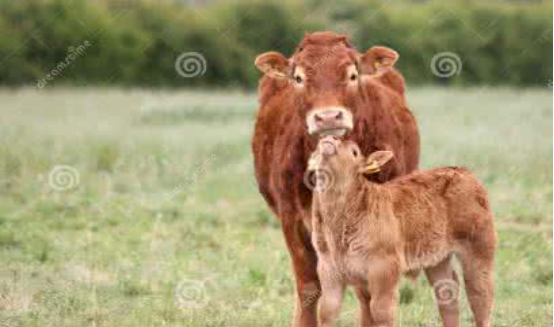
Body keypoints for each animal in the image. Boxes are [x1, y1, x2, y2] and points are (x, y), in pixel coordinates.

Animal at [251, 31, 418, 327]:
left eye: (352, 75)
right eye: (298, 78)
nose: (328, 116)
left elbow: (367, 290)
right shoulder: (292, 218)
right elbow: (308, 285)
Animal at [308, 137, 494, 327]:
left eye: (354, 151)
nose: (330, 139)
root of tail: (463, 171)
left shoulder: (384, 268)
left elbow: (381, 311)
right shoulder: (329, 269)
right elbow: (328, 311)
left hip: (479, 247)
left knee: (480, 294)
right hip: (437, 258)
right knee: (447, 293)